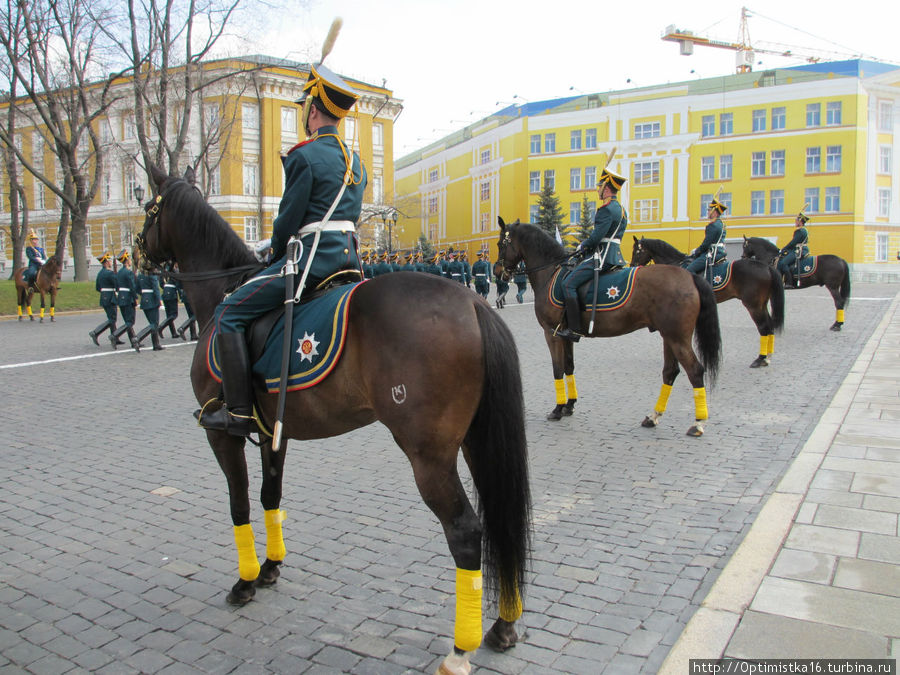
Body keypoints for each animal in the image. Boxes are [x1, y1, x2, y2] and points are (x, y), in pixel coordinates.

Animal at [137, 165, 532, 675]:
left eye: (149, 208)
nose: (141, 252)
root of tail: (473, 303)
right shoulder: (273, 435)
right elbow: (270, 496)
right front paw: (270, 568)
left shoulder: (222, 436)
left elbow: (239, 504)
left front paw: (244, 581)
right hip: (476, 444)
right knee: (499, 521)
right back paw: (503, 625)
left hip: (429, 459)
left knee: (466, 533)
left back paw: (459, 651)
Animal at [496, 217, 720, 438]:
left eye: (500, 244)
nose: (498, 272)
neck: (551, 273)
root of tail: (689, 276)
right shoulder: (566, 335)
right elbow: (569, 366)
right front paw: (570, 405)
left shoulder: (551, 333)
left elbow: (557, 368)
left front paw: (558, 409)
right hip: (668, 337)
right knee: (670, 372)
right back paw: (653, 417)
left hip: (677, 338)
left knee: (695, 371)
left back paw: (698, 423)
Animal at [628, 235, 784, 368]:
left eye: (636, 251)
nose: (632, 265)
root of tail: (765, 266)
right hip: (762, 304)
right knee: (769, 326)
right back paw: (767, 357)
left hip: (753, 306)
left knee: (764, 327)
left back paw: (760, 359)